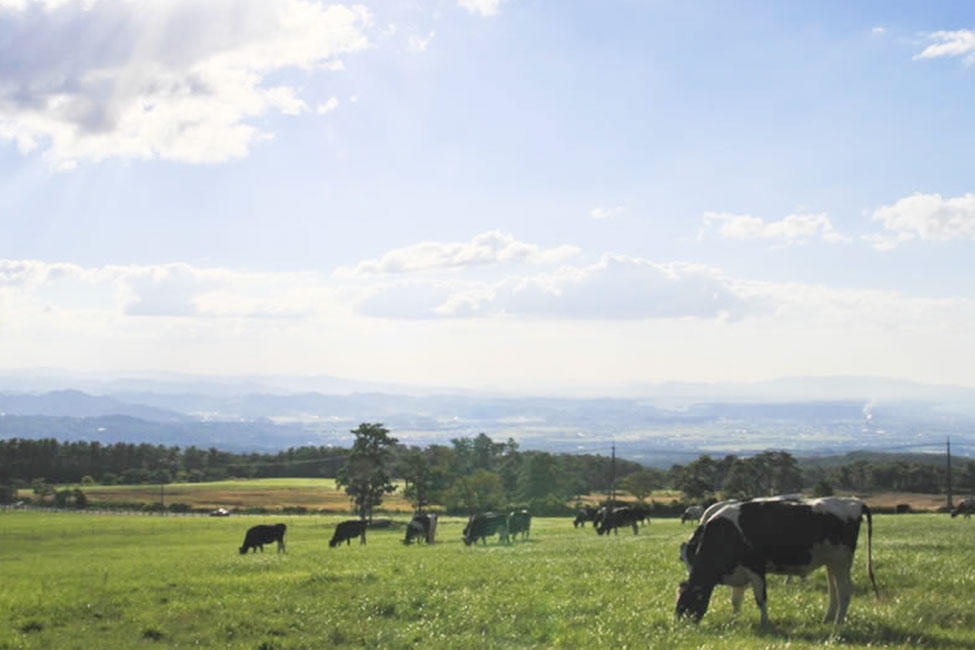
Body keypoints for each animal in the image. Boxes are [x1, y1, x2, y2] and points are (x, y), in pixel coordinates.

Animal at [676, 496, 880, 624]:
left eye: (688, 600)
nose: (679, 622)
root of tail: (854, 501)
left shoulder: (756, 568)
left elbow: (761, 598)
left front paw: (765, 623)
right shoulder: (739, 571)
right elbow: (735, 600)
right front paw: (734, 620)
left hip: (841, 561)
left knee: (845, 590)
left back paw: (837, 625)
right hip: (831, 562)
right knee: (834, 590)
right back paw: (828, 619)